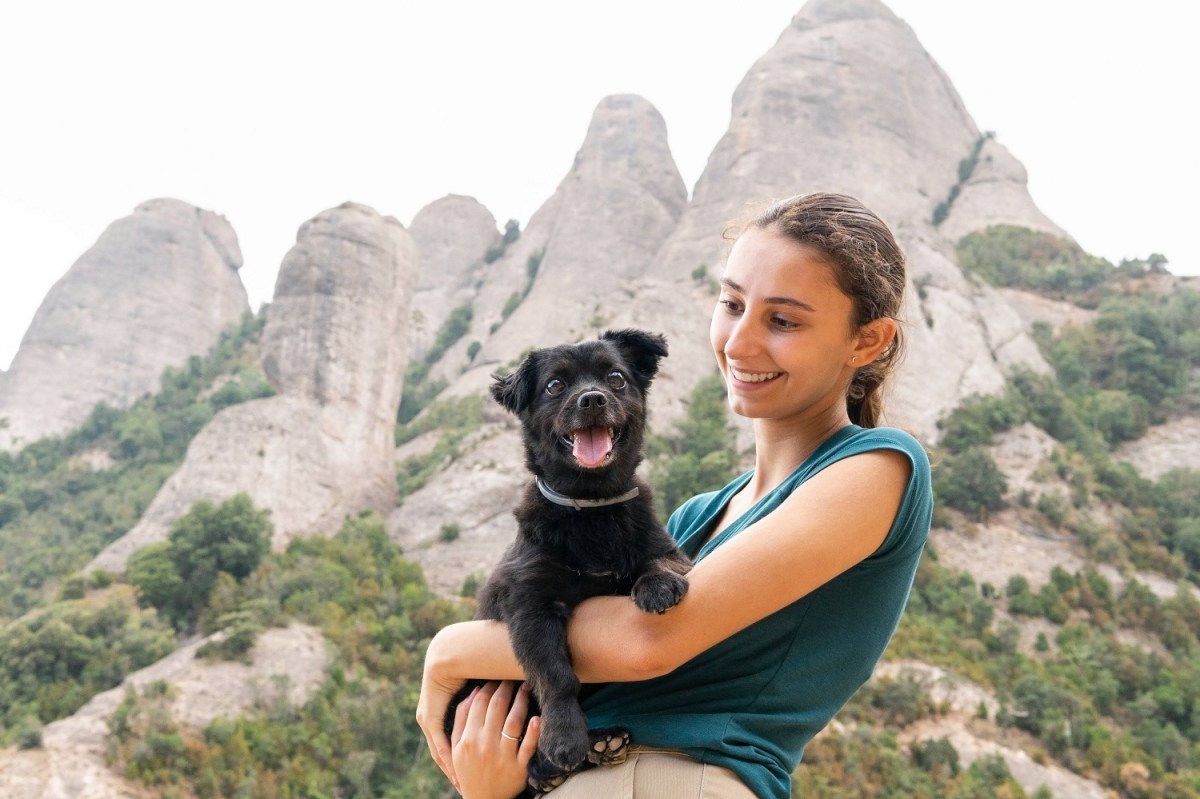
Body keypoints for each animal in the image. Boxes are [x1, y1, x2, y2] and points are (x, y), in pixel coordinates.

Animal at [456, 328, 691, 791]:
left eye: (616, 378)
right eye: (554, 386)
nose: (593, 399)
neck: (592, 509)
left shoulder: (668, 550)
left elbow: (658, 561)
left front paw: (656, 585)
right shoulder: (530, 603)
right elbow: (555, 674)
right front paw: (563, 738)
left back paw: (601, 743)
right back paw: (553, 764)